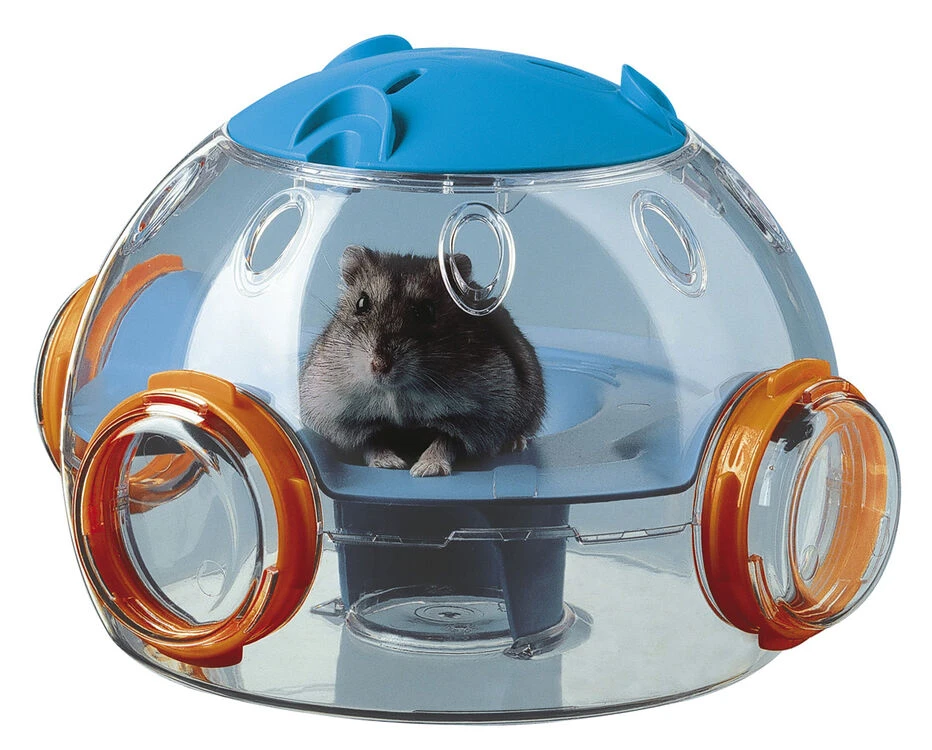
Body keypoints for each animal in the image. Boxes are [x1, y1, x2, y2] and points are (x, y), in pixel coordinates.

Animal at [299, 245, 545, 477]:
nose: (380, 366)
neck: (395, 393)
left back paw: (516, 443)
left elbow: (445, 442)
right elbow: (372, 442)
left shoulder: (473, 421)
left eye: (427, 310)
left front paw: (424, 470)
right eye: (361, 303)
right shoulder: (344, 420)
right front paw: (391, 464)